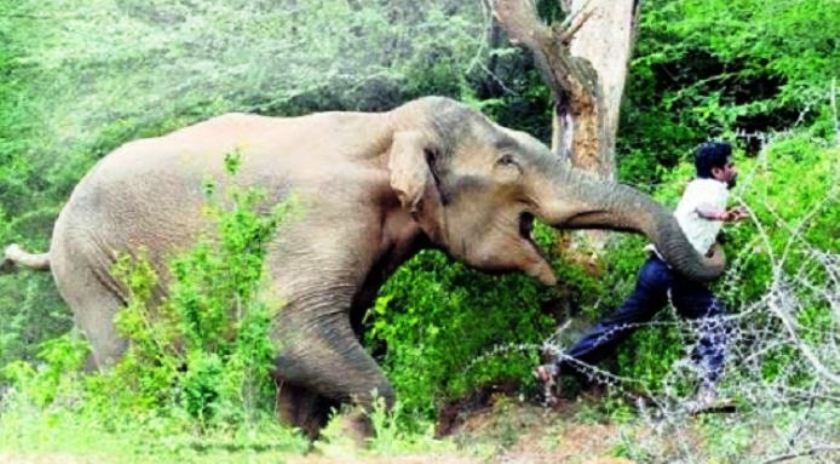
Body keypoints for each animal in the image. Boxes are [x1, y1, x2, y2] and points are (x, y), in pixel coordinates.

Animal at [1, 96, 720, 436]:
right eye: (508, 163)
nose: (560, 304)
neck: (386, 127)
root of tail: (50, 238)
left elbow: (312, 341)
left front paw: (304, 439)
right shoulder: (325, 216)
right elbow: (291, 328)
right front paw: (363, 433)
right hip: (91, 268)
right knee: (131, 365)